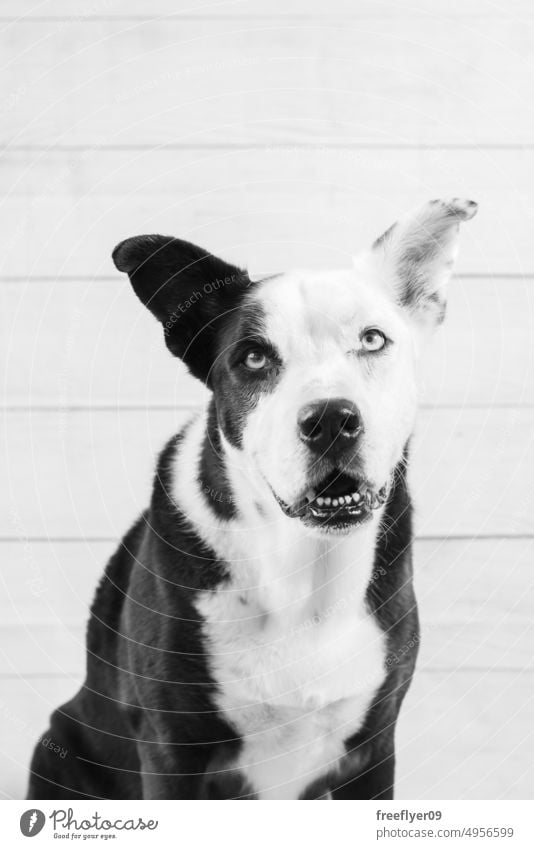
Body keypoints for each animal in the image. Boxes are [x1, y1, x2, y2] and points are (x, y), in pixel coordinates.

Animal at [28, 195, 478, 800]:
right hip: (57, 744)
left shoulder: (374, 748)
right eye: (254, 359)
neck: (302, 569)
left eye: (372, 339)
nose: (331, 421)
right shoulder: (171, 753)